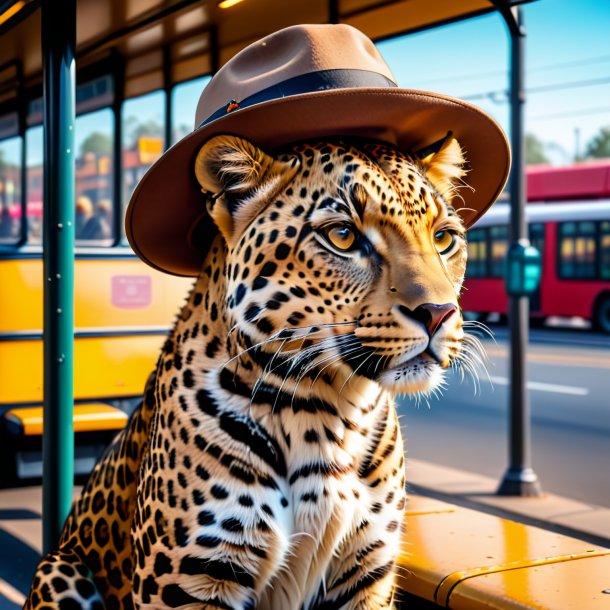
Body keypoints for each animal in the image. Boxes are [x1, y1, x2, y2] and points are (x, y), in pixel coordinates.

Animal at [23, 133, 470, 608]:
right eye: (343, 236)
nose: (439, 313)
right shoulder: (188, 583)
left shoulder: (368, 571)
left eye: (444, 238)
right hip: (59, 569)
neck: (332, 413)